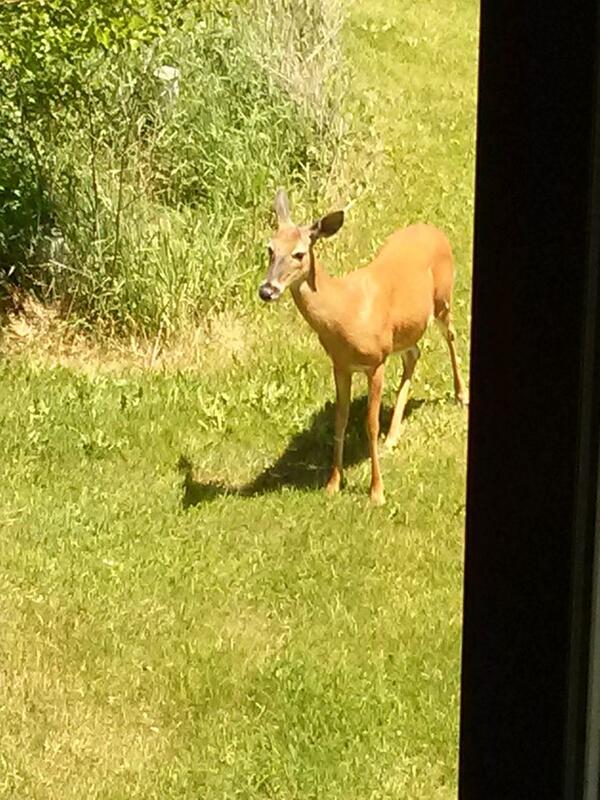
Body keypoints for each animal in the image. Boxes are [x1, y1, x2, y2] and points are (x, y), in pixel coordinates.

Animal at [258, 188, 468, 506]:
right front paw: (333, 483)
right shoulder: (340, 365)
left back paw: (461, 395)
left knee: (451, 336)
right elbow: (340, 420)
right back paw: (393, 436)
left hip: (442, 298)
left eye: (299, 253)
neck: (345, 310)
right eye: (270, 249)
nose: (267, 290)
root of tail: (434, 230)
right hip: (404, 330)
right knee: (414, 353)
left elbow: (370, 424)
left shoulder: (376, 362)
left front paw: (377, 492)